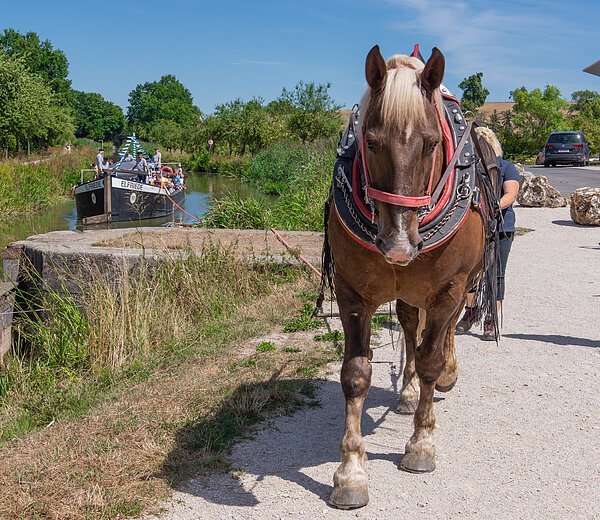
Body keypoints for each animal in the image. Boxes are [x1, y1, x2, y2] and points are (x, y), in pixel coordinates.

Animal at [324, 44, 502, 508]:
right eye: (370, 141)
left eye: (431, 144)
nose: (400, 245)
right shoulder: (351, 292)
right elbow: (356, 374)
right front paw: (351, 473)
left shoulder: (449, 288)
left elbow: (431, 358)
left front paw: (421, 444)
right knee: (408, 325)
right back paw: (405, 393)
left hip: (461, 284)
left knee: (446, 333)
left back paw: (444, 376)